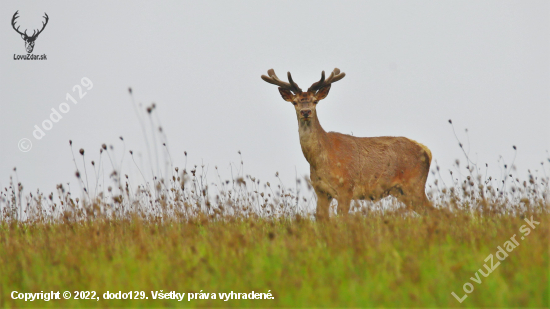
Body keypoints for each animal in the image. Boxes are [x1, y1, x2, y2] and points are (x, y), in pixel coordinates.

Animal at [264, 68, 436, 218]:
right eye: (294, 102)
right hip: (402, 192)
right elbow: (321, 219)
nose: (305, 112)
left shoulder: (346, 187)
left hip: (414, 184)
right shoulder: (321, 191)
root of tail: (426, 151)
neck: (321, 160)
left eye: (315, 101)